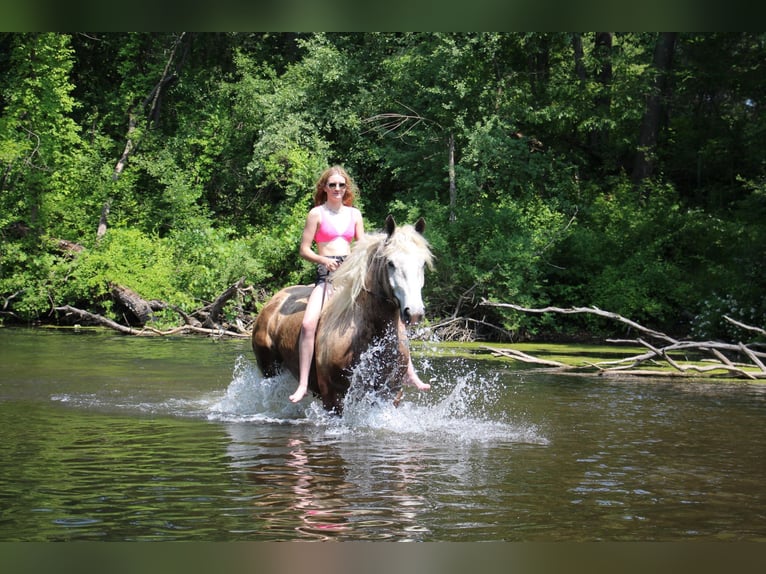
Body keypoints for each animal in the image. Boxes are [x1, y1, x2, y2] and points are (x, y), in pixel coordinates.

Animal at [250, 216, 432, 414]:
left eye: (422, 264)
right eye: (390, 263)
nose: (414, 312)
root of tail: (272, 301)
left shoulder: (391, 394)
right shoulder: (333, 397)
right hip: (269, 369)